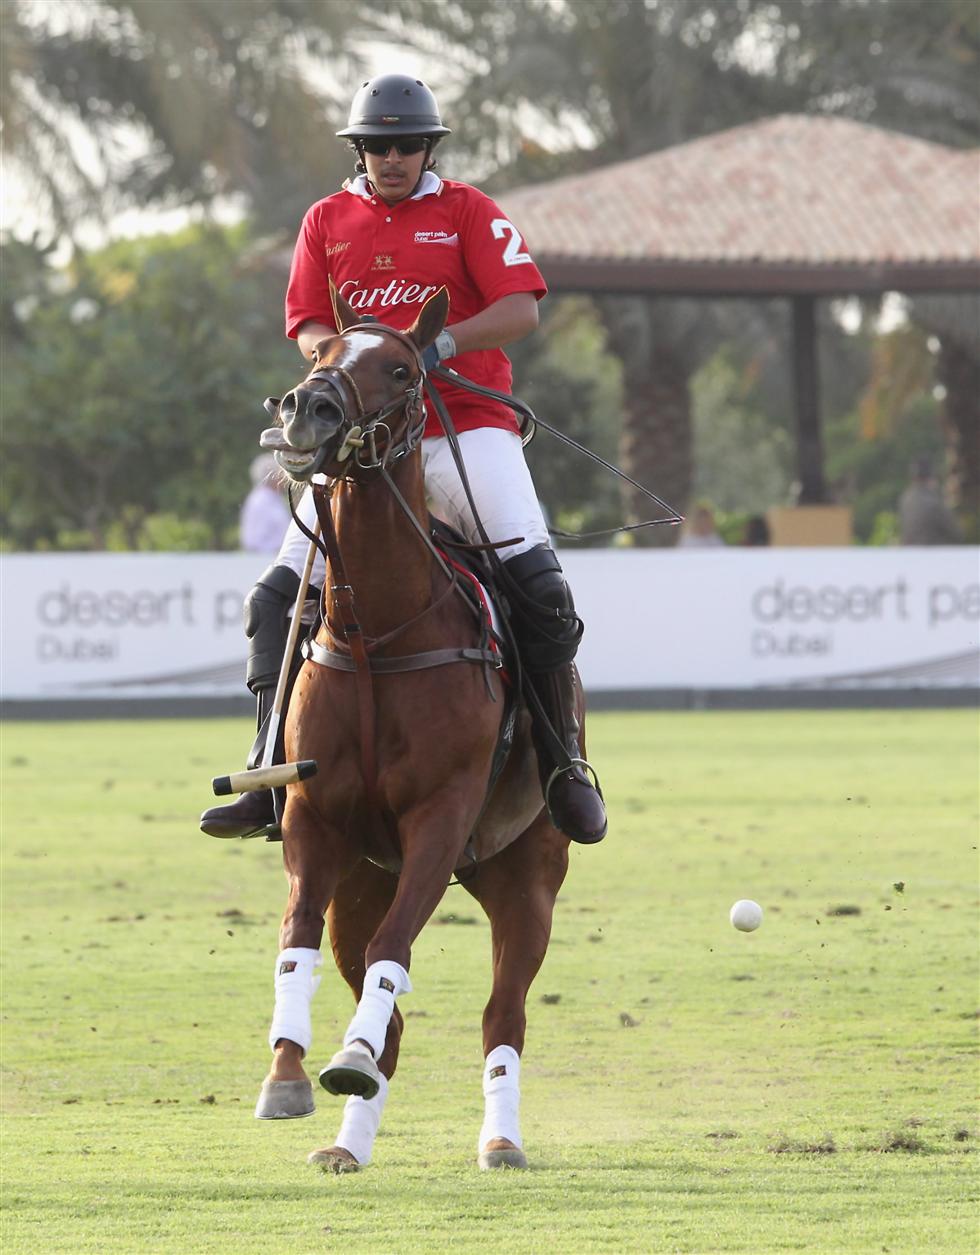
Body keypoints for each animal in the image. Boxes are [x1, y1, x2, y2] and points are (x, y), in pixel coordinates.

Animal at [253, 279, 584, 1173]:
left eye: (404, 368)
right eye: (325, 352)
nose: (307, 409)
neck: (381, 635)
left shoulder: (441, 814)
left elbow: (396, 951)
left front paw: (343, 1057)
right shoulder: (315, 817)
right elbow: (298, 935)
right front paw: (291, 1071)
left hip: (525, 874)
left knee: (502, 1013)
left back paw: (500, 1137)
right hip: (365, 879)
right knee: (382, 998)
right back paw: (348, 1139)